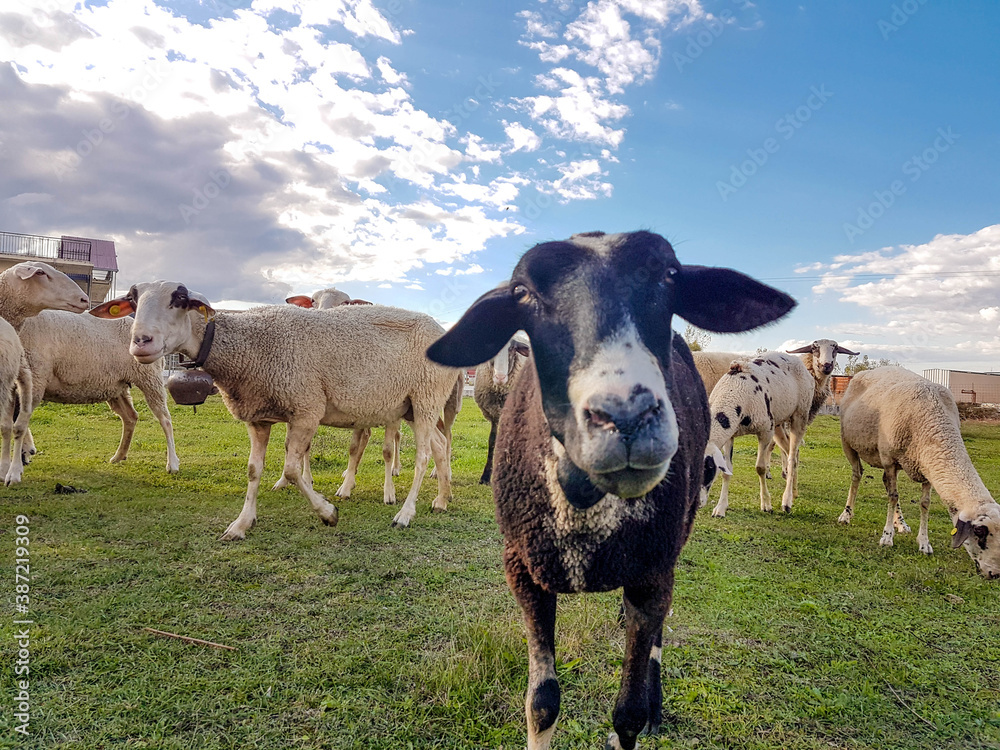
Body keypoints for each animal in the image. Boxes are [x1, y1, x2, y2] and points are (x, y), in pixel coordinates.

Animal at [18, 312, 178, 476]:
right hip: (116, 387)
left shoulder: (34, 376)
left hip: (149, 377)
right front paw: (24, 453)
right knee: (130, 417)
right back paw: (119, 456)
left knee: (165, 419)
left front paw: (24, 453)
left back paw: (172, 463)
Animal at [836, 368, 1000, 580]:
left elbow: (924, 504)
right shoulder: (889, 459)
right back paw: (846, 515)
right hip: (848, 443)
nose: (995, 574)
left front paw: (924, 543)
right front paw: (886, 537)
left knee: (885, 482)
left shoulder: (927, 466)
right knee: (857, 475)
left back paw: (901, 524)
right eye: (980, 532)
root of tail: (864, 372)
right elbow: (892, 497)